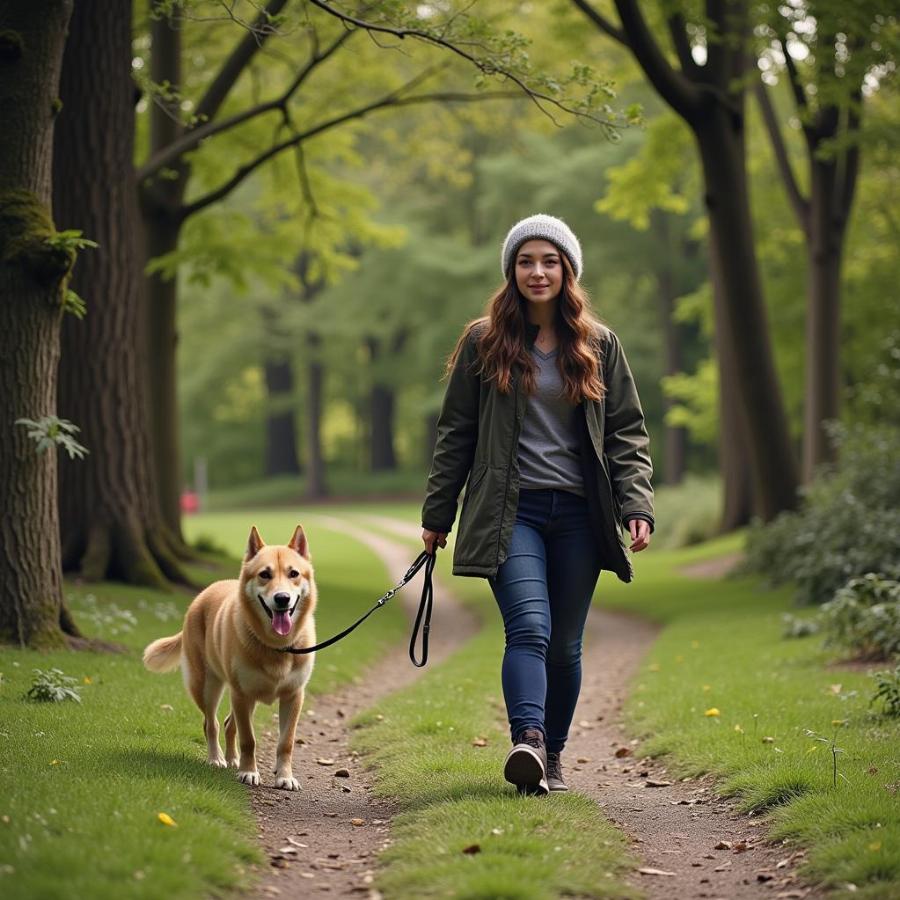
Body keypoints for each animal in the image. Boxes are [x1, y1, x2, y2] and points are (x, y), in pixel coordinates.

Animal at [143, 524, 316, 792]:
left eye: (294, 573)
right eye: (264, 574)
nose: (282, 599)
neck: (276, 646)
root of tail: (203, 594)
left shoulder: (293, 696)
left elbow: (285, 742)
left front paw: (284, 776)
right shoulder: (242, 694)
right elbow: (249, 739)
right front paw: (249, 772)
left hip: (243, 695)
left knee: (227, 724)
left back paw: (233, 759)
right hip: (208, 685)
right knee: (211, 724)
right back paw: (217, 759)